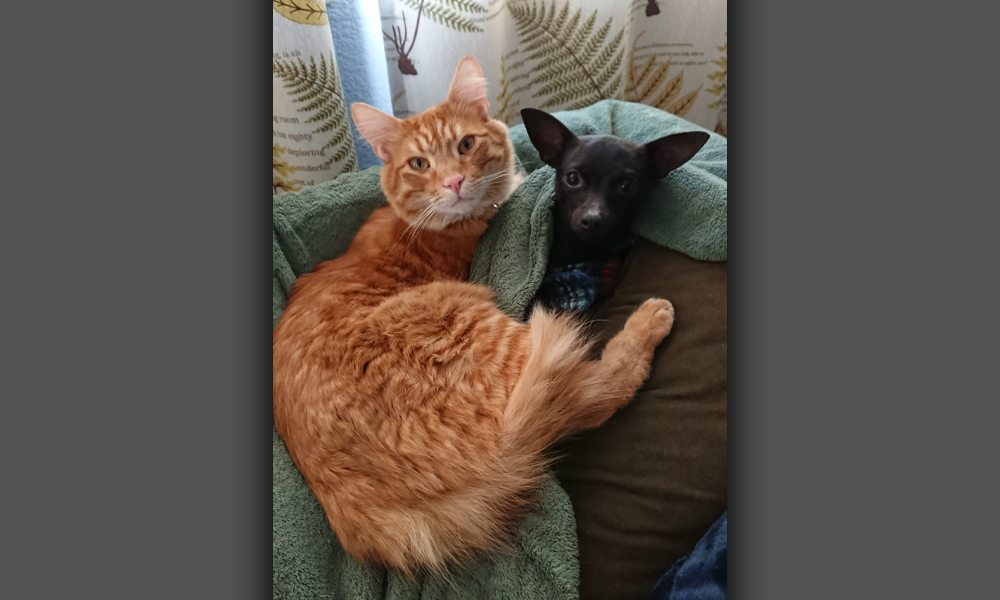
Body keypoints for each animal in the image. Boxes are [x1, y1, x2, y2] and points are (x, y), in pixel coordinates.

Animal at [272, 57, 680, 576]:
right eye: (419, 164)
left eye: (465, 145)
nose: (454, 183)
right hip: (482, 328)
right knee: (596, 392)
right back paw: (650, 317)